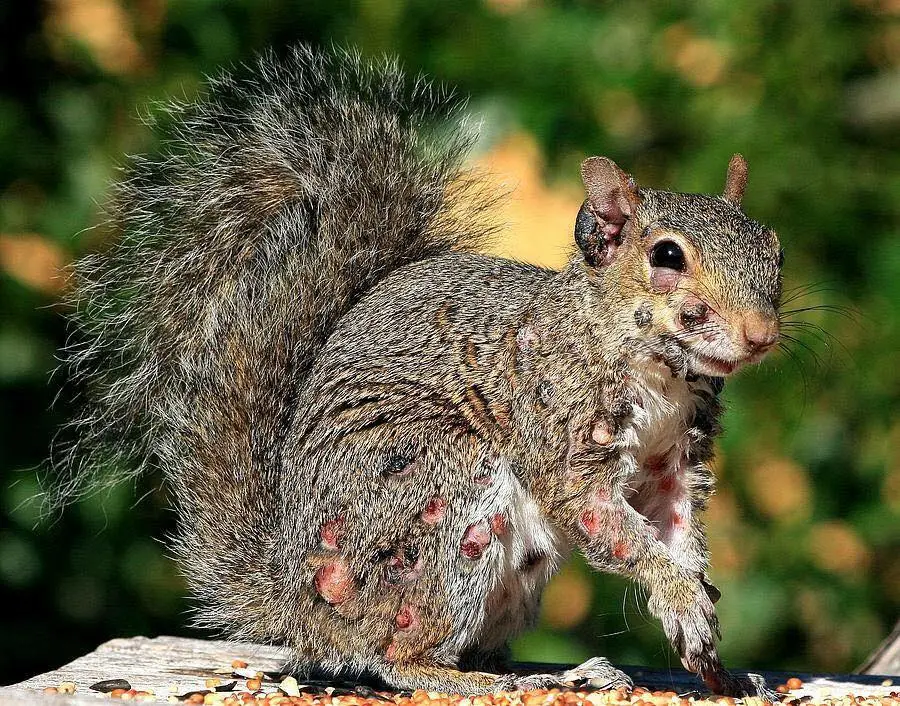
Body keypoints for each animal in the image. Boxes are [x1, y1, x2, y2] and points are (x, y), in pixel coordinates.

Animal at [53, 46, 783, 697]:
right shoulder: (559, 429)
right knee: (395, 659)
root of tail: (302, 607)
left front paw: (706, 637)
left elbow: (677, 529)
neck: (658, 375)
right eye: (667, 256)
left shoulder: (675, 460)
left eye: (772, 247)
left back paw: (562, 672)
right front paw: (679, 594)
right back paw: (489, 680)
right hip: (443, 497)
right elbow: (606, 520)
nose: (762, 333)